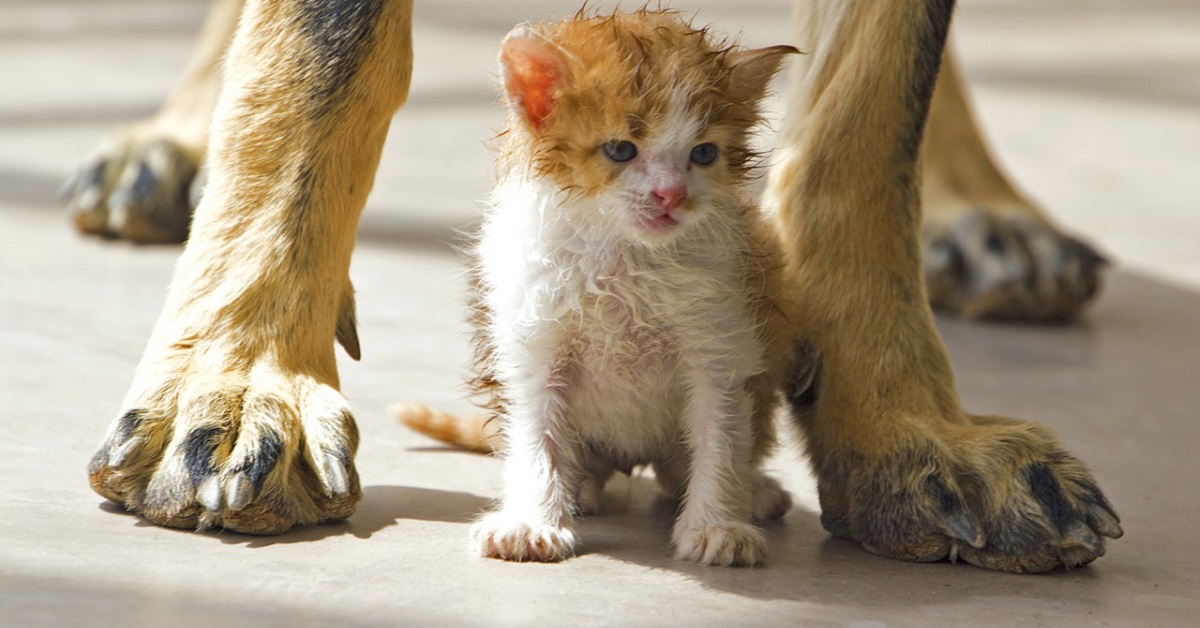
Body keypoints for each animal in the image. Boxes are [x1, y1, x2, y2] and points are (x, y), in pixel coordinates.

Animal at [410, 9, 796, 569]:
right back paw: (580, 488)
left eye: (703, 153)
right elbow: (536, 433)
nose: (671, 195)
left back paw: (753, 489)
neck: (624, 257)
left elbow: (720, 435)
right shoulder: (533, 341)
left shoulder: (720, 340)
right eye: (620, 150)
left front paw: (717, 525)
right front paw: (532, 521)